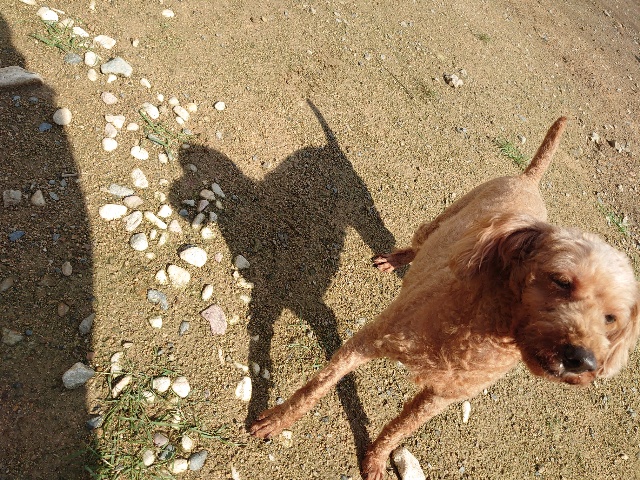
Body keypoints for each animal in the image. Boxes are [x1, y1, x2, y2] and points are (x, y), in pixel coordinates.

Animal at [250, 117, 640, 479]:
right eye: (561, 281)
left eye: (611, 319)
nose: (583, 360)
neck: (479, 330)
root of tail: (528, 180)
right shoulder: (366, 341)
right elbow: (317, 385)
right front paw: (276, 420)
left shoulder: (441, 396)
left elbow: (399, 428)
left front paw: (376, 459)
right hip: (443, 218)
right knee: (420, 239)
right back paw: (395, 259)